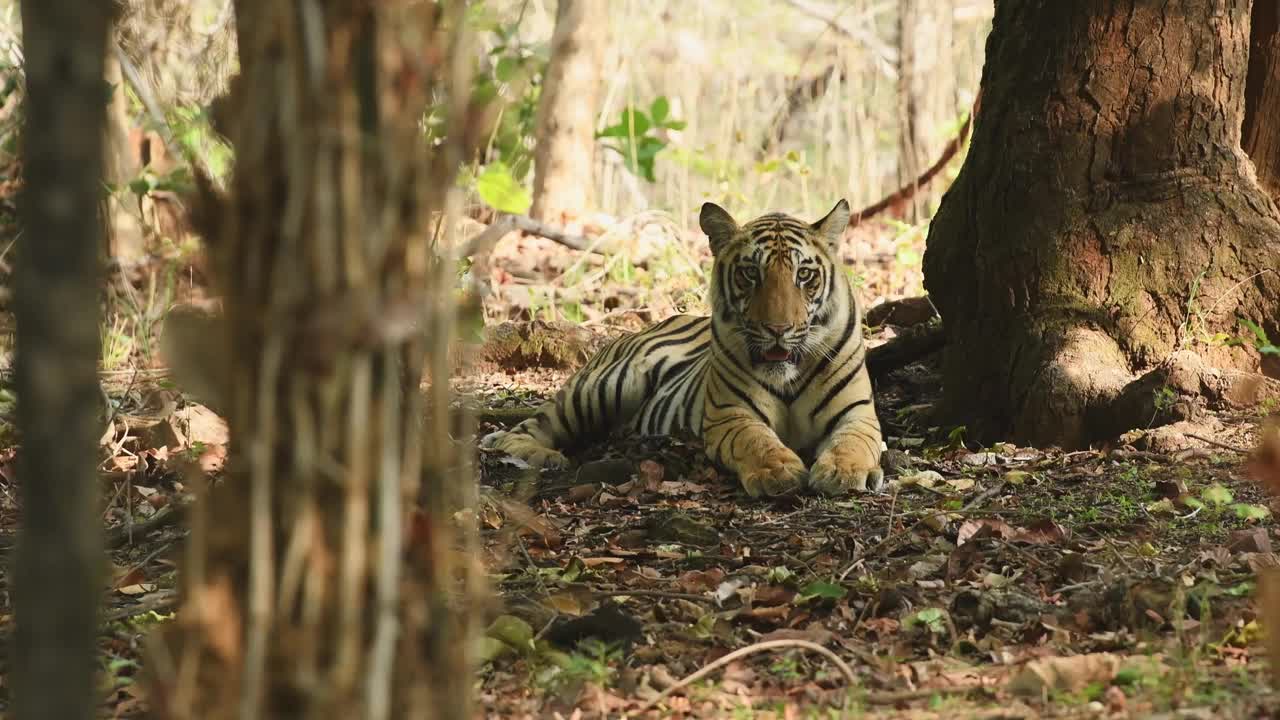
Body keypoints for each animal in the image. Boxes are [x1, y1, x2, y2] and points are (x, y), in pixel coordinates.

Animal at [481, 198, 880, 497]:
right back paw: (543, 456)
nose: (778, 329)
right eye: (751, 273)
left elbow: (853, 443)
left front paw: (842, 472)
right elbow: (757, 441)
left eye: (804, 275)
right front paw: (778, 471)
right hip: (601, 388)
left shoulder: (858, 413)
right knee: (526, 428)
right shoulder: (731, 415)